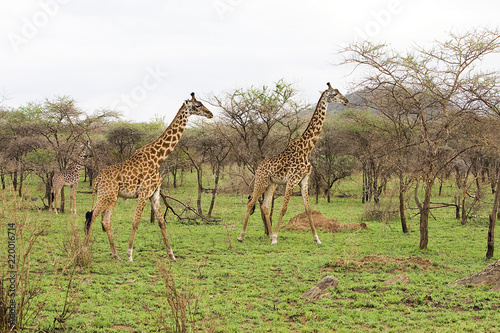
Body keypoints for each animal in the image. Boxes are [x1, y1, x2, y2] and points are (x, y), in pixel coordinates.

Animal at [84, 92, 213, 260]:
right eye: (197, 105)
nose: (210, 114)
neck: (157, 159)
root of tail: (97, 179)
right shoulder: (144, 192)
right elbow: (135, 221)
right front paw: (130, 255)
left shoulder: (154, 193)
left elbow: (161, 222)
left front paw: (172, 255)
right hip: (107, 195)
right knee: (92, 216)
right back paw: (84, 250)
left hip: (110, 197)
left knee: (105, 221)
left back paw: (115, 255)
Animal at [237, 82, 348, 245]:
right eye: (334, 94)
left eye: (339, 92)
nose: (346, 101)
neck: (307, 149)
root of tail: (258, 168)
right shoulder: (292, 180)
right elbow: (283, 208)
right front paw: (276, 239)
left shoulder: (304, 180)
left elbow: (308, 209)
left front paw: (317, 239)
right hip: (261, 181)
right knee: (251, 202)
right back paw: (242, 236)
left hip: (271, 184)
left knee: (265, 206)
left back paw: (269, 234)